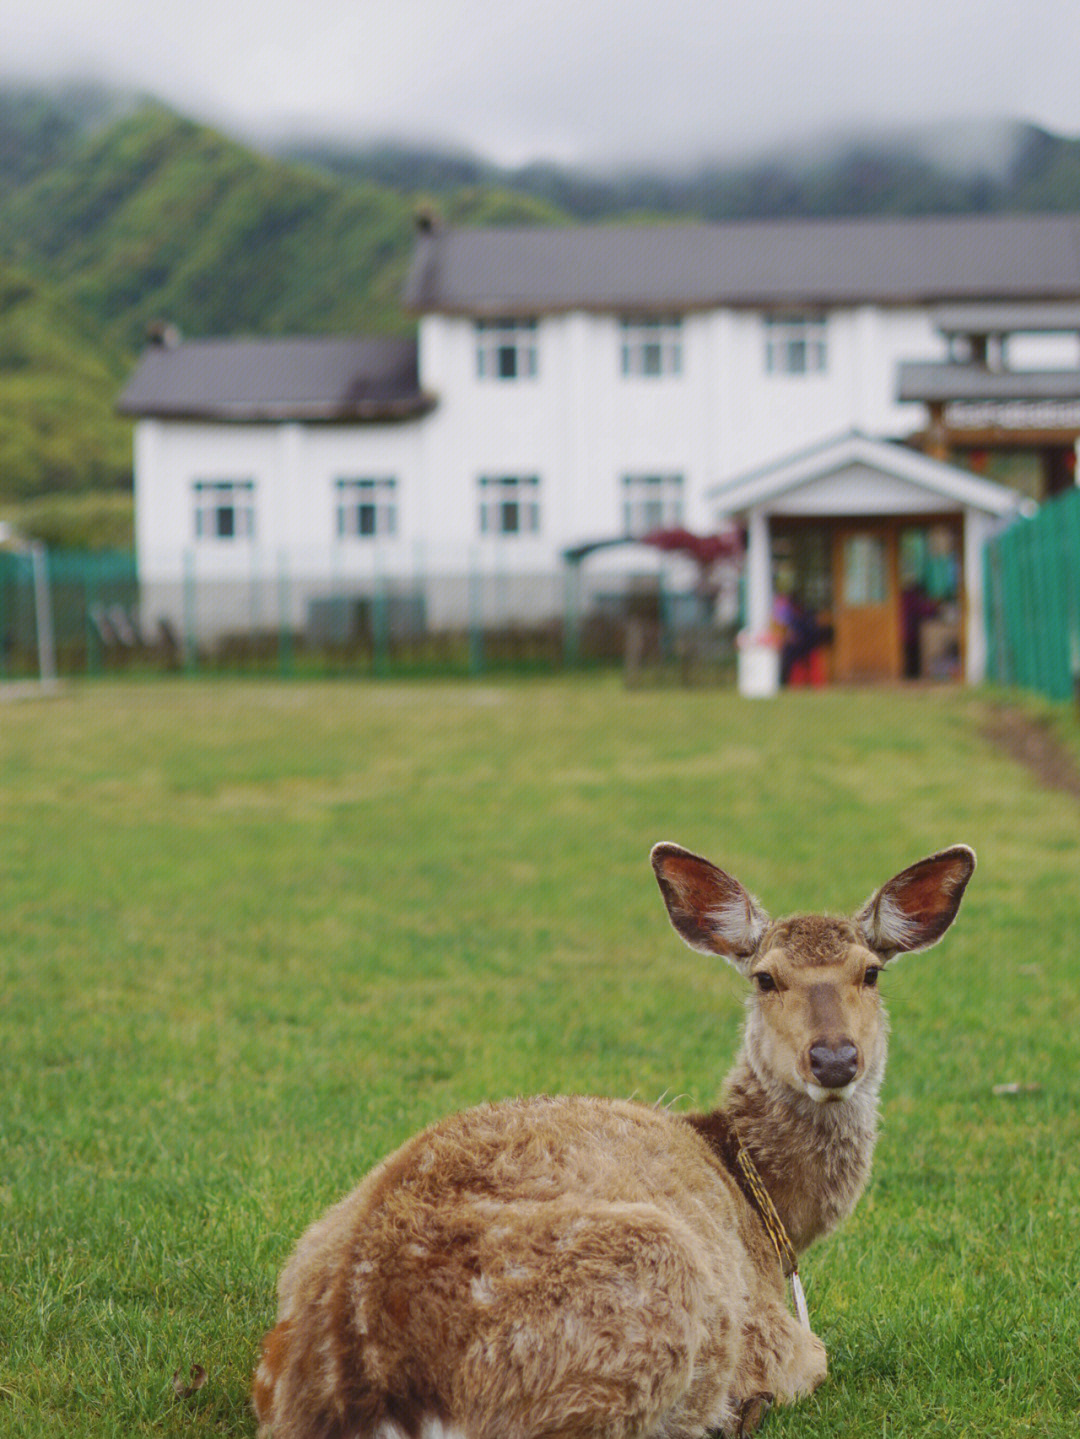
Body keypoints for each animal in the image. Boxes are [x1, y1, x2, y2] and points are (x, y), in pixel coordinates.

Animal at [255, 840, 977, 1439]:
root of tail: (371, 1392)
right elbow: (819, 1355)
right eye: (765, 977)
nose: (833, 1058)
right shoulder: (772, 1330)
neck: (768, 1209)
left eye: (870, 972)